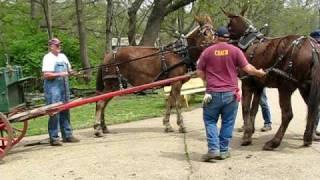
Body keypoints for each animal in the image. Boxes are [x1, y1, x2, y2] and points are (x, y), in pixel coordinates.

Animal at [224, 9, 320, 150]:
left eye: (229, 26)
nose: (221, 36)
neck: (250, 43)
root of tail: (312, 47)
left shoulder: (247, 84)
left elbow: (246, 108)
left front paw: (246, 136)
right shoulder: (259, 86)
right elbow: (254, 109)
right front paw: (250, 131)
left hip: (285, 88)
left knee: (288, 114)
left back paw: (274, 141)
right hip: (306, 87)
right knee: (313, 110)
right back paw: (308, 138)